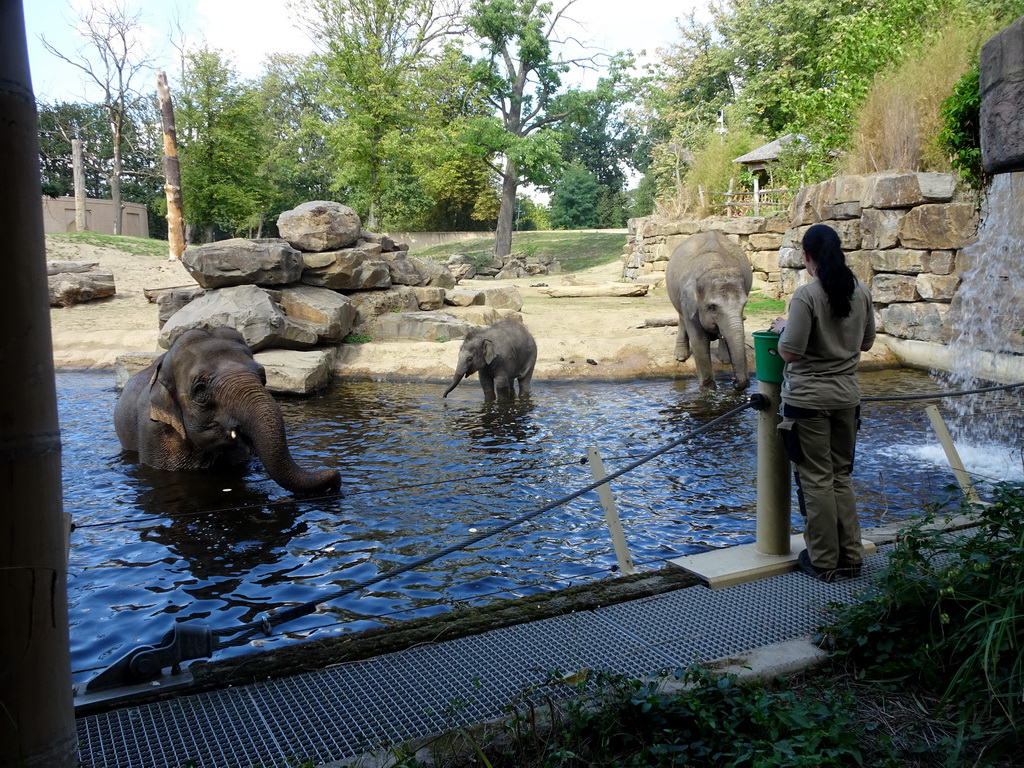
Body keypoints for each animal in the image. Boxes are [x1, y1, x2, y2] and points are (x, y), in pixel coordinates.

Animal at [663, 230, 753, 391]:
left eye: (744, 304)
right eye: (712, 307)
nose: (735, 382)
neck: (716, 266)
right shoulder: (689, 304)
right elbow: (699, 341)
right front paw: (708, 389)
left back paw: (725, 359)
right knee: (681, 317)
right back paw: (680, 357)